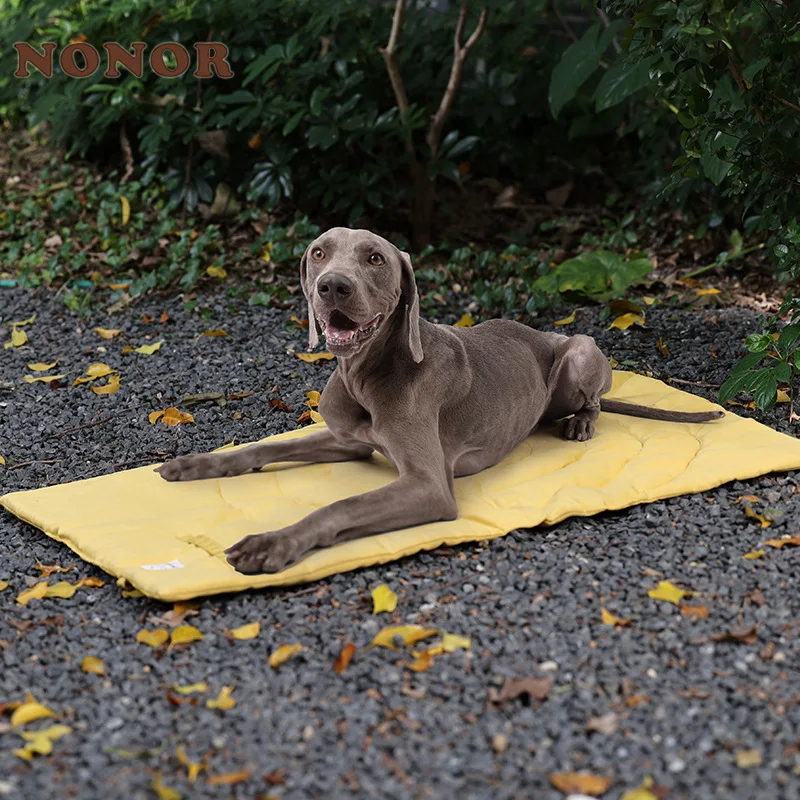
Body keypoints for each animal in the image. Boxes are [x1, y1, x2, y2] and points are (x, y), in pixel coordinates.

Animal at [158, 228, 724, 572]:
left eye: (375, 258)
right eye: (319, 252)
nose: (331, 286)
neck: (368, 373)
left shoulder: (428, 486)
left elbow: (340, 505)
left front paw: (273, 542)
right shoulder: (349, 442)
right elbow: (262, 449)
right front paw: (194, 464)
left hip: (580, 350)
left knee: (597, 401)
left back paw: (580, 423)